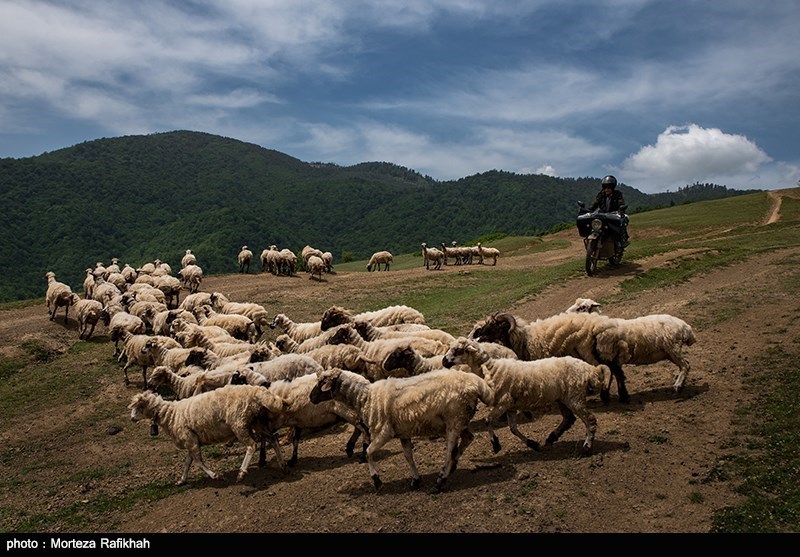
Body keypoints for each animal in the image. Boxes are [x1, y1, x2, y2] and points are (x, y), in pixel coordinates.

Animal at [126, 384, 286, 484]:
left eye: (139, 407)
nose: (132, 419)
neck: (170, 414)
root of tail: (259, 393)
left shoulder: (190, 440)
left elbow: (198, 462)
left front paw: (215, 476)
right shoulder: (191, 439)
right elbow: (188, 462)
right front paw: (182, 480)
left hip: (239, 423)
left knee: (252, 445)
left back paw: (242, 473)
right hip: (257, 422)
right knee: (273, 439)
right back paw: (282, 464)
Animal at [312, 368, 494, 494]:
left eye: (322, 383)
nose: (311, 398)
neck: (365, 397)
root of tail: (478, 384)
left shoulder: (385, 432)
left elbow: (369, 452)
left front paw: (376, 481)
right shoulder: (403, 433)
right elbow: (408, 457)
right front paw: (416, 480)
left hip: (454, 421)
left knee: (450, 451)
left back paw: (440, 482)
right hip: (460, 420)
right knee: (468, 438)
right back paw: (452, 466)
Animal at [444, 336, 608, 454]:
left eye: (458, 350)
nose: (444, 361)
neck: (492, 369)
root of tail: (590, 370)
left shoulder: (503, 403)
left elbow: (488, 420)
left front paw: (496, 444)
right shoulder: (510, 407)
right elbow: (513, 429)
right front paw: (532, 444)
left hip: (575, 398)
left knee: (590, 420)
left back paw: (586, 447)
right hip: (563, 398)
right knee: (569, 419)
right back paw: (552, 438)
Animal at [466, 310, 696, 402]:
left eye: (494, 325)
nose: (476, 335)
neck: (524, 338)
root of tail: (686, 328)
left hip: (670, 349)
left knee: (685, 365)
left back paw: (677, 387)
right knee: (615, 371)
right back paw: (618, 395)